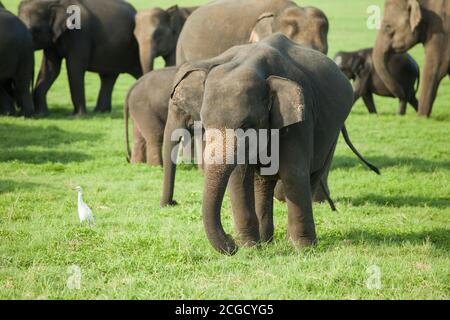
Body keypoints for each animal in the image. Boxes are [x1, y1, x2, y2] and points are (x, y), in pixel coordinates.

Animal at [165, 33, 356, 255]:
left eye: (246, 126)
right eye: (205, 124)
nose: (231, 243)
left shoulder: (301, 120)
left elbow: (293, 173)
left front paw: (303, 249)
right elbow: (239, 177)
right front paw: (250, 248)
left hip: (333, 132)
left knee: (312, 175)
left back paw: (287, 240)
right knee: (263, 181)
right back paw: (266, 242)